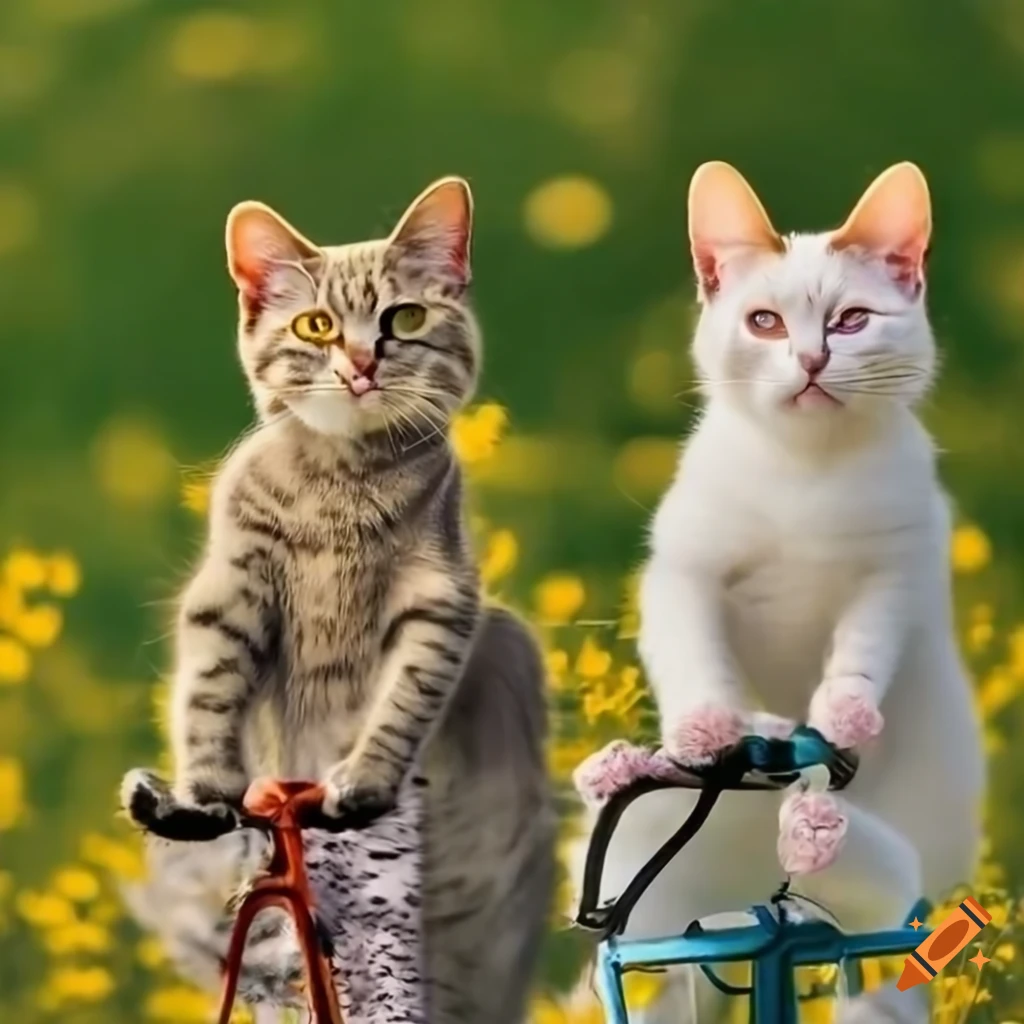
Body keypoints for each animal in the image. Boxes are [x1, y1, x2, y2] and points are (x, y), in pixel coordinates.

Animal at [569, 161, 983, 1024]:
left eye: (853, 320)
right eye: (763, 322)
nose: (812, 359)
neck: (807, 469)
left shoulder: (895, 569)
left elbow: (864, 645)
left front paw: (842, 713)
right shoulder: (683, 569)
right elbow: (696, 652)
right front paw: (708, 725)